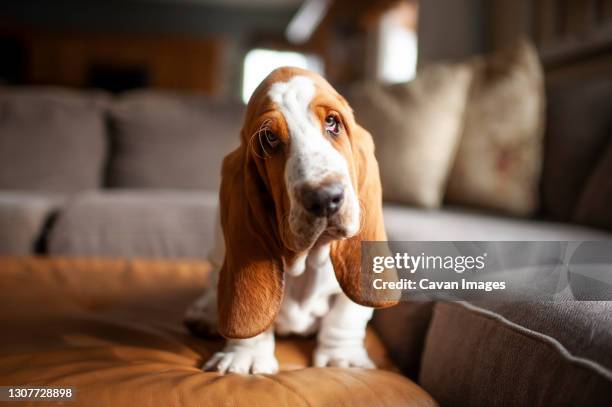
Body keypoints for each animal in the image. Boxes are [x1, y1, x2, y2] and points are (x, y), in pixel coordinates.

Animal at [185, 67, 396, 376]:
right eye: (270, 139)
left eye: (332, 122)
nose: (325, 198)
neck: (306, 260)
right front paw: (245, 358)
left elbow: (345, 315)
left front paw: (342, 358)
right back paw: (204, 315)